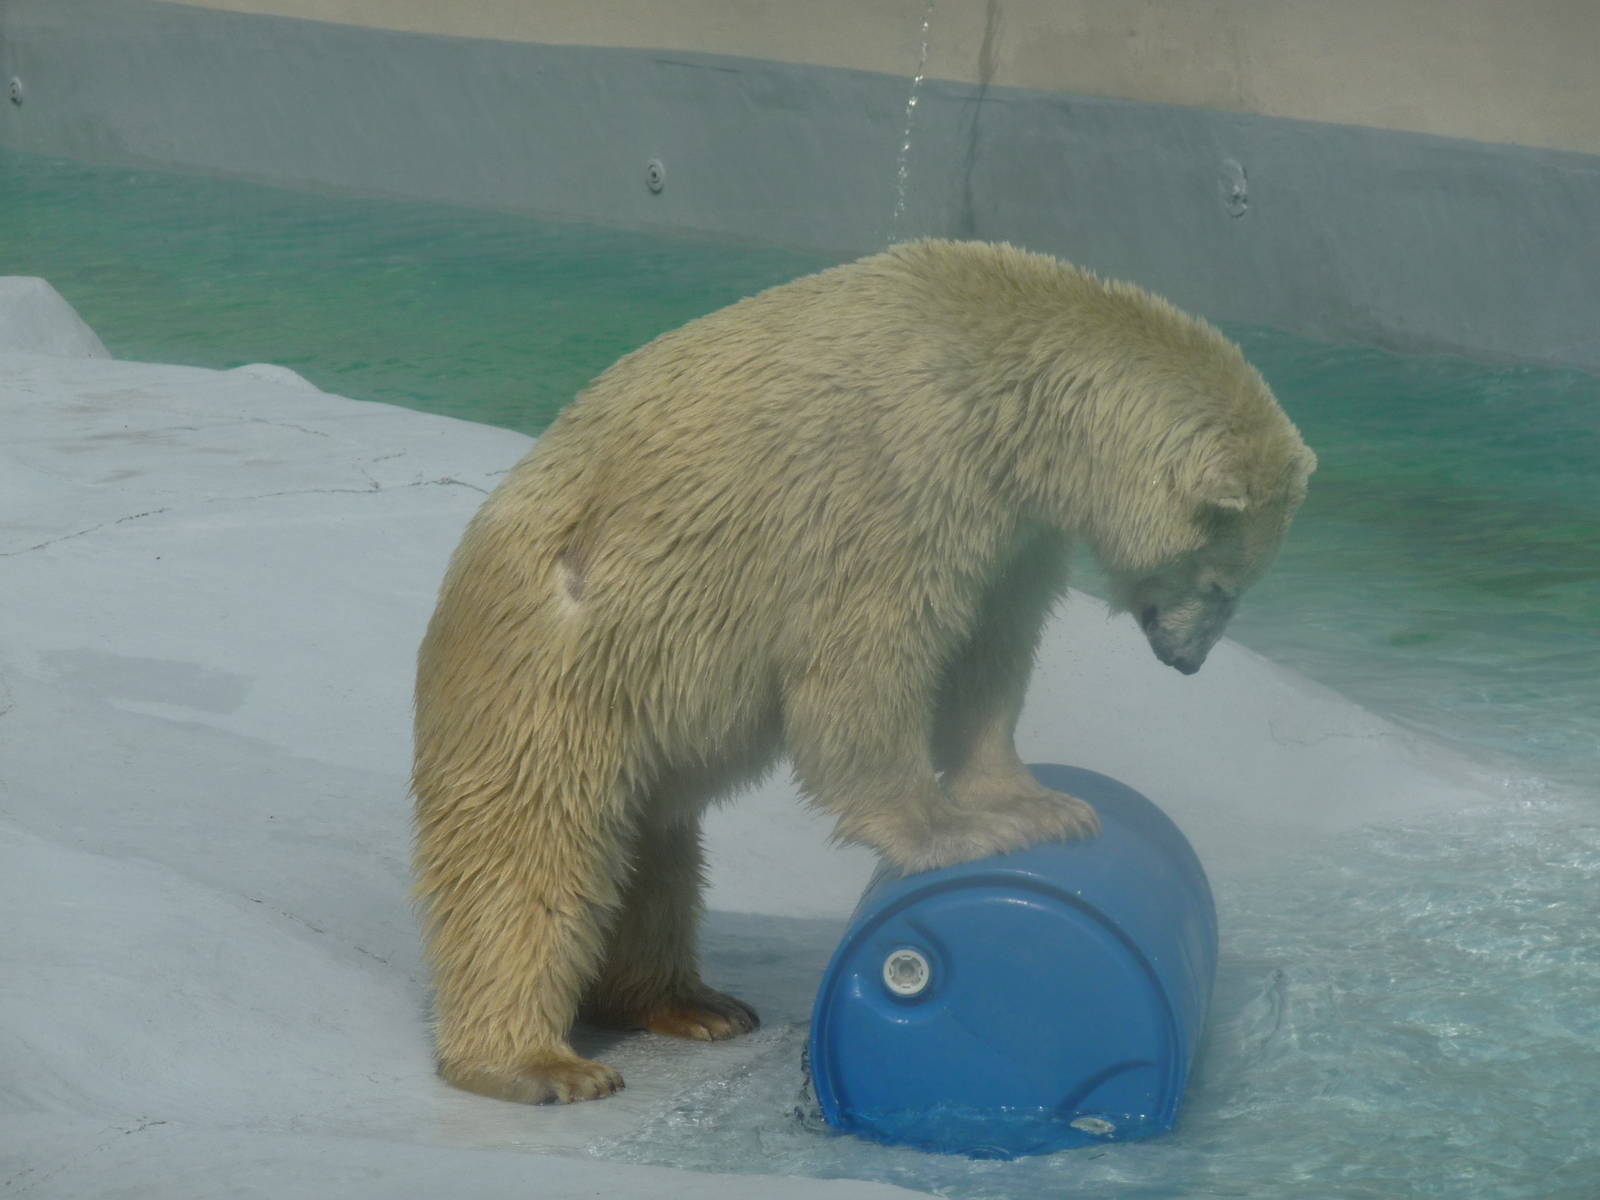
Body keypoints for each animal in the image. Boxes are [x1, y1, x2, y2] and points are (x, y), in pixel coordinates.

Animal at [411, 238, 1315, 1105]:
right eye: (1222, 583)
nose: (1186, 663)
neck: (997, 366)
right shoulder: (894, 473)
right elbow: (867, 655)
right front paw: (949, 831)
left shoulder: (1013, 523)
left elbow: (989, 653)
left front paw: (1037, 805)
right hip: (558, 667)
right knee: (532, 848)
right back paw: (538, 1063)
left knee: (653, 850)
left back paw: (690, 1003)